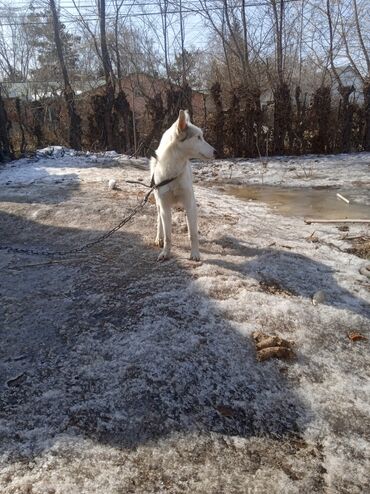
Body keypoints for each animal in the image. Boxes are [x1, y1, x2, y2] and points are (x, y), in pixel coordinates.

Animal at [150, 109, 215, 262]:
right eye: (198, 137)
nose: (216, 151)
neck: (173, 172)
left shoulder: (189, 202)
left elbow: (193, 234)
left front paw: (195, 253)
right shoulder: (164, 206)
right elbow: (168, 236)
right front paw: (165, 252)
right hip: (158, 202)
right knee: (159, 219)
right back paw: (158, 237)